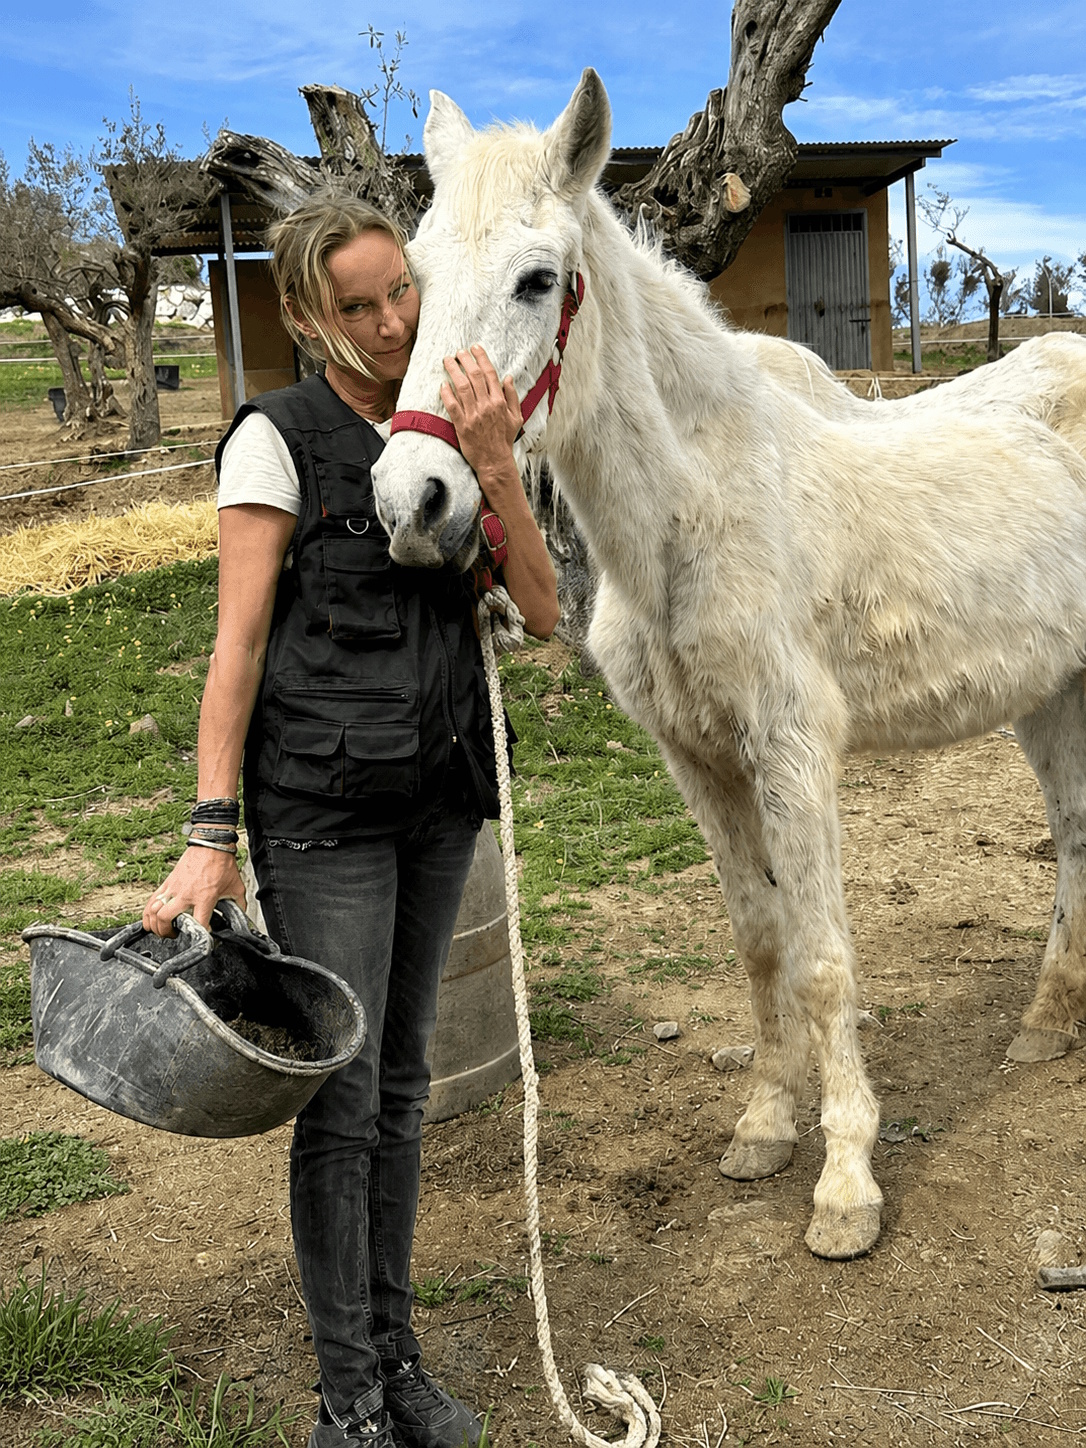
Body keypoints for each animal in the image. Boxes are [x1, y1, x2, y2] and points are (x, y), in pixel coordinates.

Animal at [371, 70, 1086, 1260]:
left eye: (538, 279)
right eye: (413, 277)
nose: (414, 502)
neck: (691, 513)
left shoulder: (793, 750)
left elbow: (824, 955)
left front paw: (846, 1185)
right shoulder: (698, 760)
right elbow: (760, 943)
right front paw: (764, 1128)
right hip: (1048, 696)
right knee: (1074, 836)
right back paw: (1046, 1026)